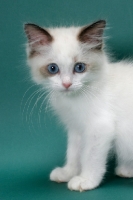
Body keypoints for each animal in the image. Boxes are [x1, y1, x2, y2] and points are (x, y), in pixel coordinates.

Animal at [23, 20, 133, 192]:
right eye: (53, 68)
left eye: (79, 67)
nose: (67, 84)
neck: (73, 101)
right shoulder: (76, 128)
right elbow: (74, 154)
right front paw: (68, 173)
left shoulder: (99, 128)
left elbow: (90, 157)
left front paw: (86, 180)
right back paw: (127, 170)